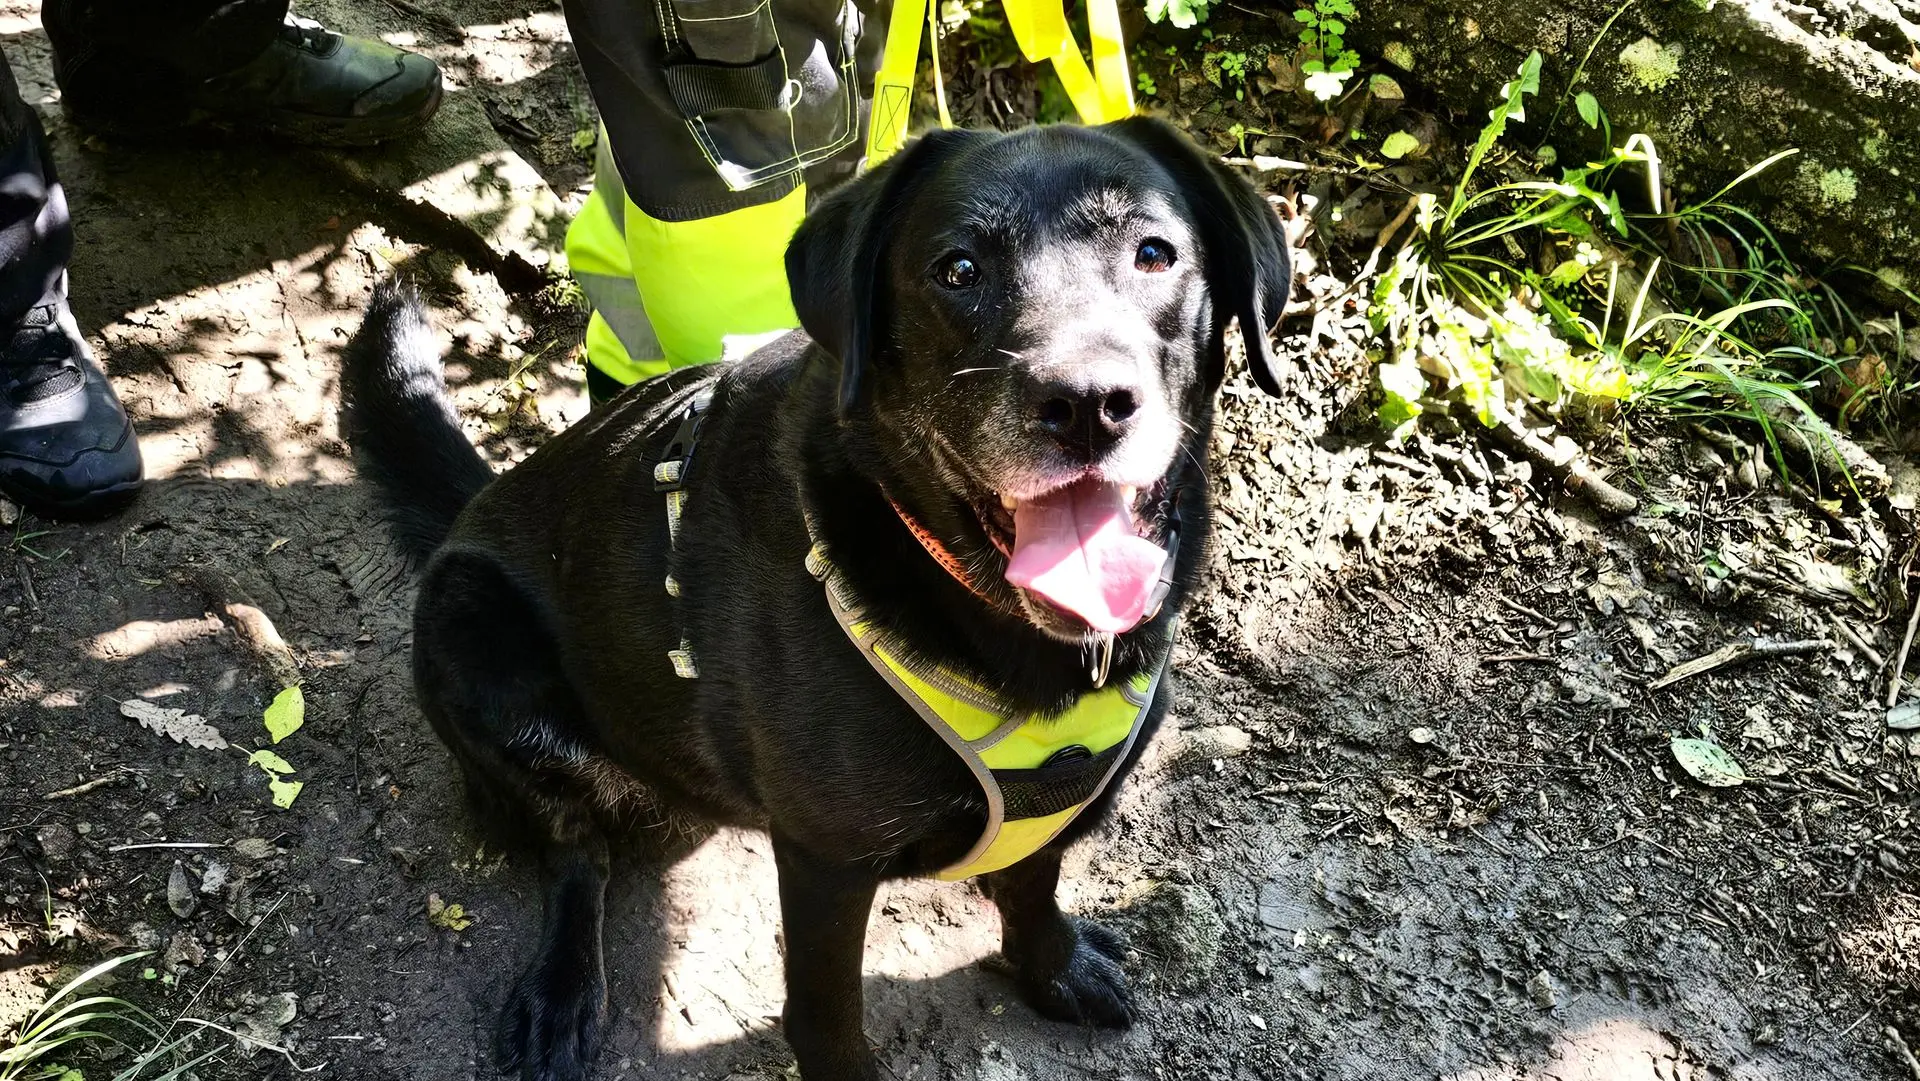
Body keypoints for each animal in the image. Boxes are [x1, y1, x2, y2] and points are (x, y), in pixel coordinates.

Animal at [341, 115, 1289, 1081]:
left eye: (1154, 253)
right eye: (957, 269)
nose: (1089, 403)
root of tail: (474, 504)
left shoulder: (1052, 809)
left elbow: (1032, 885)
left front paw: (1051, 969)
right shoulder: (826, 861)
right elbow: (828, 1014)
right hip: (473, 633)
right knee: (577, 848)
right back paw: (562, 992)